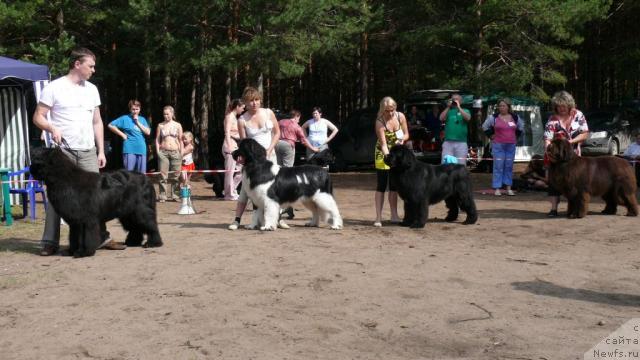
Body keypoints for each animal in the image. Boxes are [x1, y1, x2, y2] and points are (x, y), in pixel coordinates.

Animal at [30, 146, 162, 256]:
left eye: (37, 160)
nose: (30, 169)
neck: (63, 178)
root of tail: (146, 178)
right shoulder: (75, 222)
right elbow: (74, 237)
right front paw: (72, 250)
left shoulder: (86, 220)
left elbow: (86, 237)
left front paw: (84, 252)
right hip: (128, 213)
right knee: (135, 227)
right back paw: (132, 242)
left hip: (141, 210)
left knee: (150, 225)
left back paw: (153, 243)